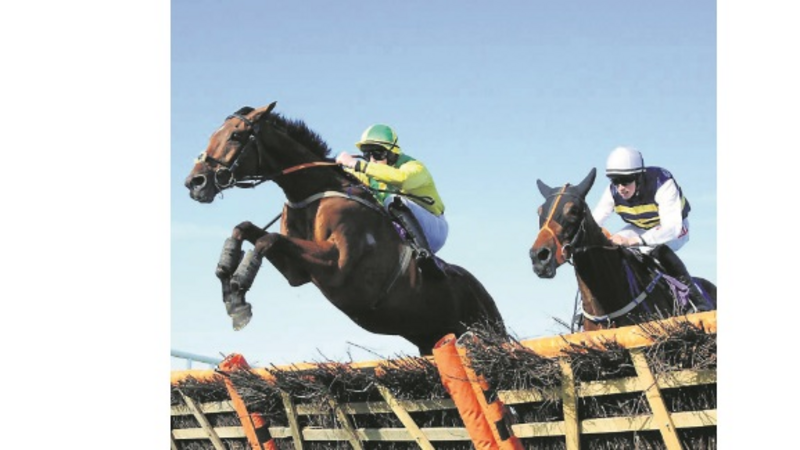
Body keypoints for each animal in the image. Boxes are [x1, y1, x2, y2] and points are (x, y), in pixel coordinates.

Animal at [183, 102, 506, 355]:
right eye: (213, 134)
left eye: (236, 135)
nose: (195, 182)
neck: (312, 194)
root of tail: (483, 292)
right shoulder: (297, 273)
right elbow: (245, 229)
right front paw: (229, 284)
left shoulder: (340, 270)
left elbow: (268, 239)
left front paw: (238, 291)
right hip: (430, 339)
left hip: (488, 328)